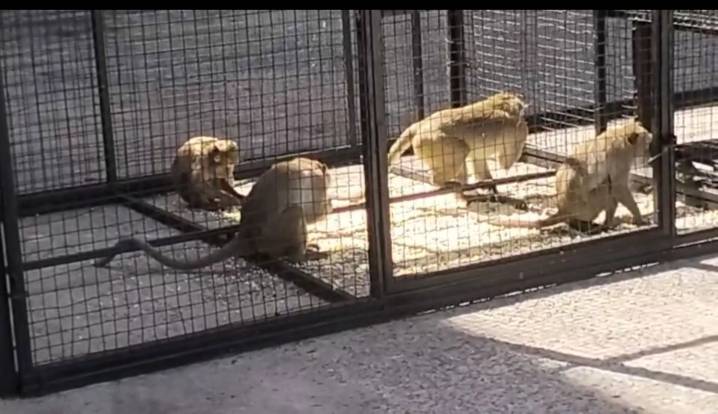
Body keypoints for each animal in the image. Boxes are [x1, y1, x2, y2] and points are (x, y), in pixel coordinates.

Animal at [95, 157, 333, 269]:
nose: (329, 179)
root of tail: (246, 234)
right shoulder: (315, 183)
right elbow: (312, 212)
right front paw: (329, 206)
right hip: (273, 236)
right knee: (296, 212)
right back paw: (300, 255)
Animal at [386, 91, 529, 196]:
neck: (500, 106)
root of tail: (421, 124)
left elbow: (478, 159)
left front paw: (490, 184)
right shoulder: (519, 130)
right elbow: (505, 162)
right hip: (433, 141)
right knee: (461, 150)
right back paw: (442, 182)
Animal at [488, 118, 653, 232]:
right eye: (647, 145)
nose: (649, 155)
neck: (620, 134)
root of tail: (563, 210)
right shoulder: (621, 158)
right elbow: (619, 187)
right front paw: (639, 218)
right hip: (588, 207)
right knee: (606, 187)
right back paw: (607, 224)